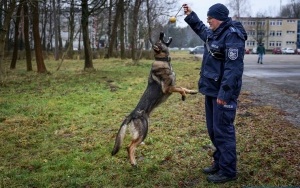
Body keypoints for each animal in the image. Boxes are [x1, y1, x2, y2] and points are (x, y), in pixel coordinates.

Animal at [110, 32, 197, 166]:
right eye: (160, 40)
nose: (161, 33)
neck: (162, 61)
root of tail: (131, 115)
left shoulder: (172, 86)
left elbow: (183, 87)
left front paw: (192, 92)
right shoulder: (167, 88)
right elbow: (180, 88)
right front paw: (183, 96)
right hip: (143, 131)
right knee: (129, 147)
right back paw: (133, 163)